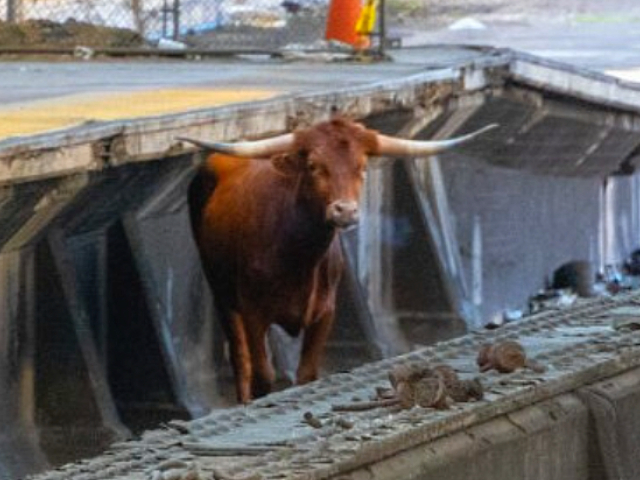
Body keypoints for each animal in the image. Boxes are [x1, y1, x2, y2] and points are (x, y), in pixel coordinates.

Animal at [179, 117, 496, 403]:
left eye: (362, 167)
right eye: (314, 166)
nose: (345, 211)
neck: (296, 258)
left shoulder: (325, 312)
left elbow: (307, 374)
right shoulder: (254, 311)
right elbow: (262, 377)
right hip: (222, 294)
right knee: (240, 358)